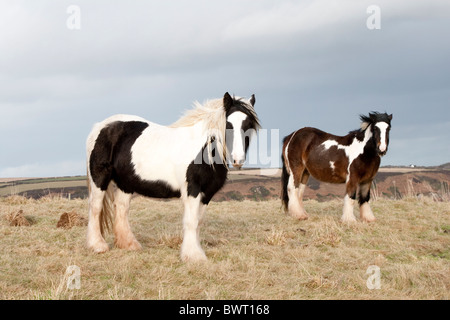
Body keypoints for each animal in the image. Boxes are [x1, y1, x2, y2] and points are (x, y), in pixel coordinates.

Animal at [86, 91, 260, 262]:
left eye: (249, 125)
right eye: (228, 125)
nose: (238, 160)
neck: (204, 152)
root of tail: (101, 126)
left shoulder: (207, 194)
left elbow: (198, 221)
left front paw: (195, 251)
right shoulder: (192, 190)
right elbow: (191, 221)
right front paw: (193, 256)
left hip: (126, 183)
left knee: (122, 208)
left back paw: (129, 244)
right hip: (99, 178)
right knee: (96, 207)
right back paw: (98, 246)